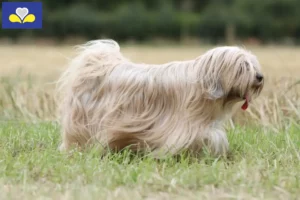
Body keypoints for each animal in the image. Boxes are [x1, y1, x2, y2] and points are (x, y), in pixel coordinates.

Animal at [57, 39, 264, 157]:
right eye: (243, 67)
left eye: (254, 65)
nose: (260, 77)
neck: (202, 81)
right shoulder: (184, 126)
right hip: (83, 121)